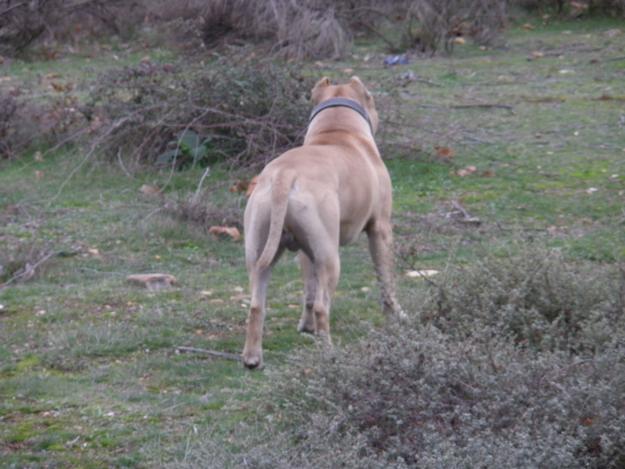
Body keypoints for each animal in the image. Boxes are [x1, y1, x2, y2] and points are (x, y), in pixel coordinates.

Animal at [241, 77, 402, 368]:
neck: (337, 130)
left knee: (258, 305)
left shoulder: (307, 253)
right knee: (321, 306)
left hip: (263, 252)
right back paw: (329, 354)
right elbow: (386, 282)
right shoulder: (380, 230)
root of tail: (284, 175)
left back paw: (252, 358)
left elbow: (308, 289)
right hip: (330, 258)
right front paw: (396, 316)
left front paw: (306, 328)